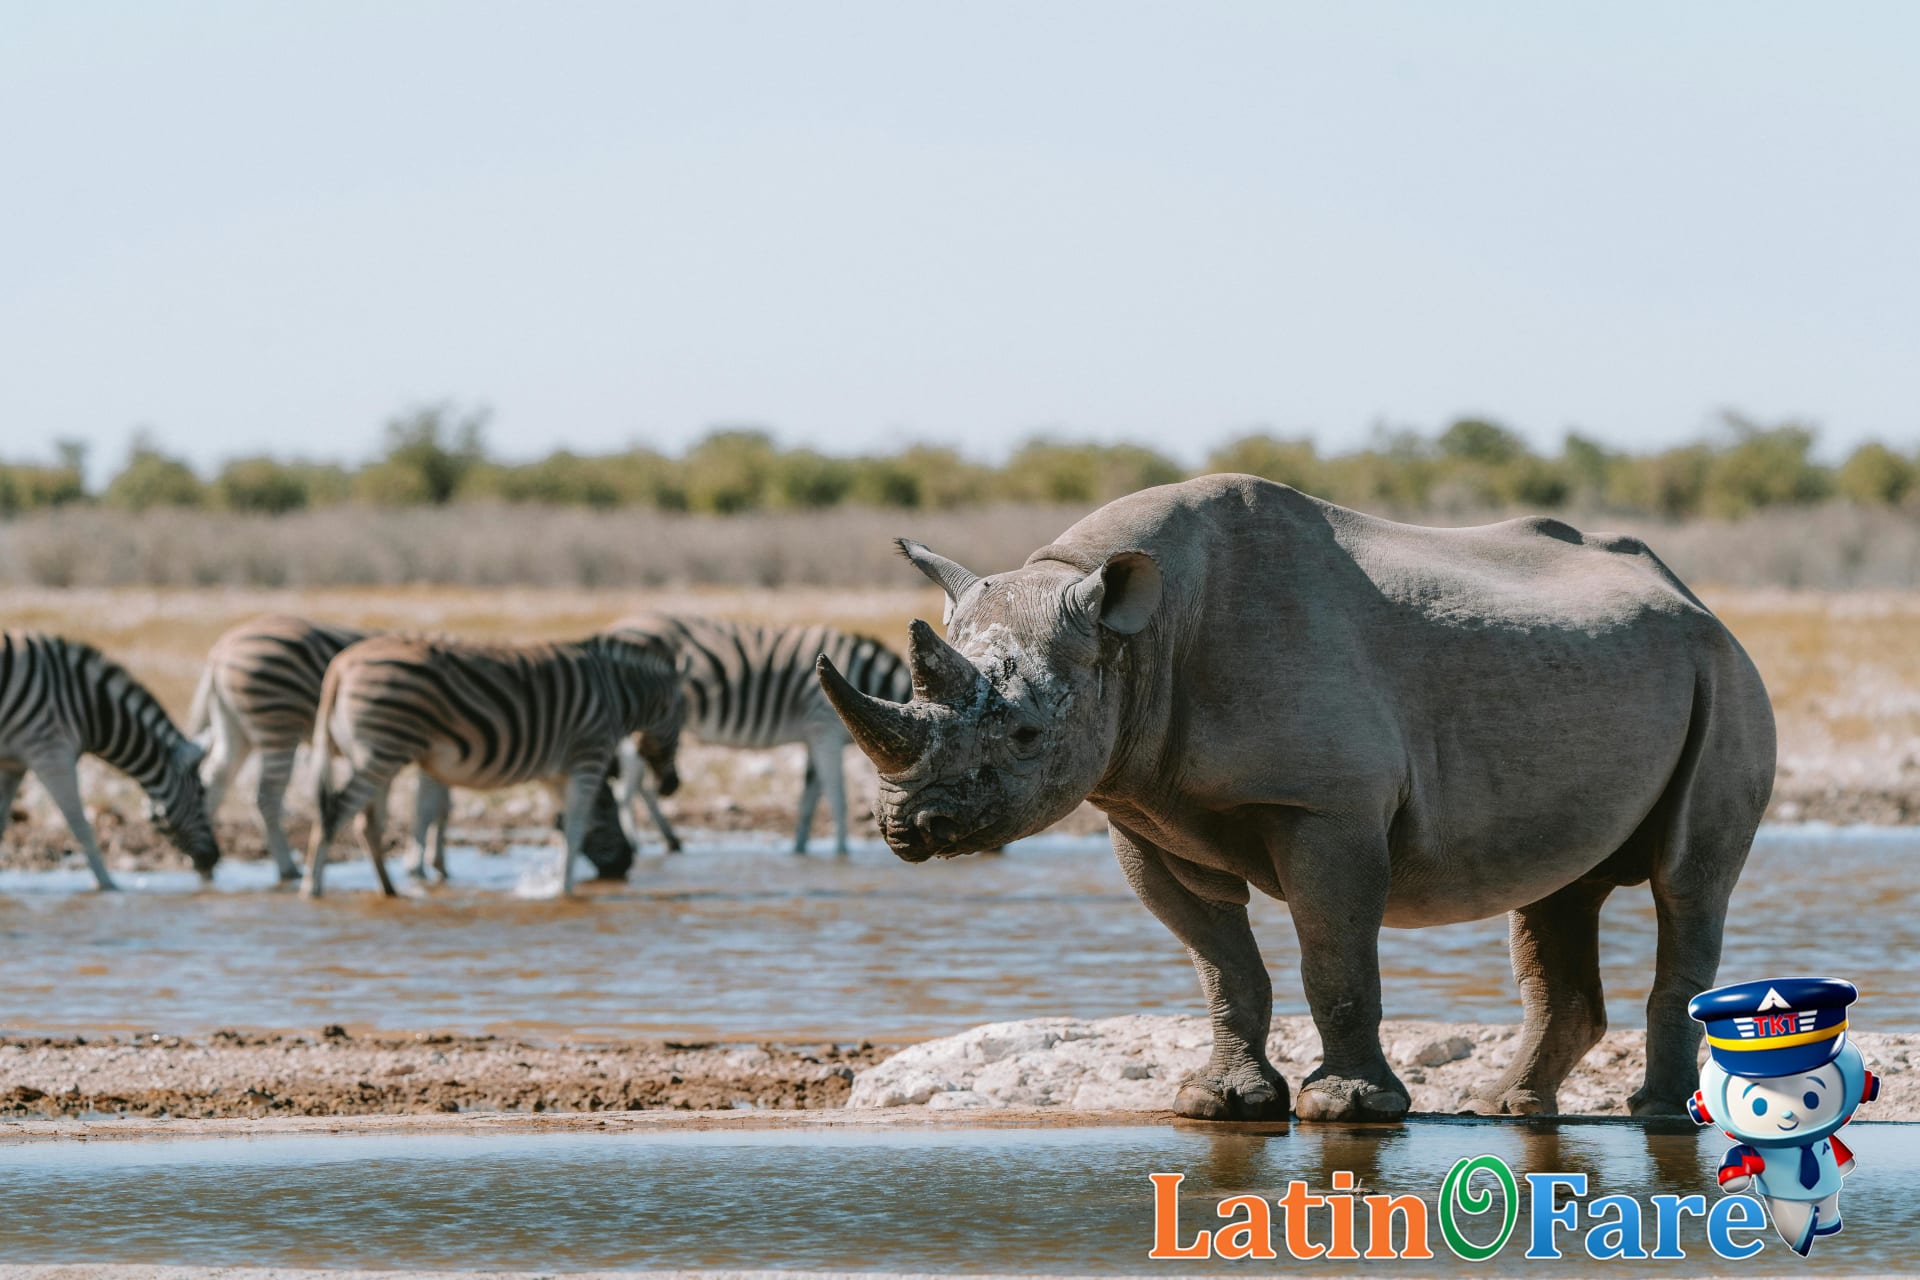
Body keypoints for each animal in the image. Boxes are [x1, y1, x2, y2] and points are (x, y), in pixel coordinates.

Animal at [0, 631, 219, 889]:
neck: (87, 707)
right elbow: (80, 825)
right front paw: (107, 884)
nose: (214, 858)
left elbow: (1, 822)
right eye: (201, 794)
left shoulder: (14, 765)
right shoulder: (51, 754)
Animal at [190, 615, 637, 883]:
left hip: (236, 729)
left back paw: (201, 856)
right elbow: (431, 807)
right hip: (276, 725)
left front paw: (435, 864)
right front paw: (422, 865)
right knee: (266, 796)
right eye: (606, 811)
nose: (626, 864)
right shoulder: (439, 751)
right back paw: (287, 868)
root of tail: (219, 651)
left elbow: (440, 806)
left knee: (213, 779)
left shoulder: (442, 754)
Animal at [304, 629, 686, 898]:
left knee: (368, 824)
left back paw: (389, 890)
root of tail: (340, 666)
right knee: (333, 814)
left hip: (378, 756)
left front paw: (557, 884)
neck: (617, 693)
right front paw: (565, 890)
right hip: (381, 752)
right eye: (681, 724)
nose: (672, 786)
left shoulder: (557, 771)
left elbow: (565, 825)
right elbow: (578, 825)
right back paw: (312, 889)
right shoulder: (588, 753)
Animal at [609, 614, 911, 854]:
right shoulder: (826, 728)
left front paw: (799, 850)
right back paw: (635, 844)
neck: (867, 683)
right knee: (629, 786)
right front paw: (842, 854)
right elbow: (837, 798)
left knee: (641, 784)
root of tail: (621, 625)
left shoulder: (815, 737)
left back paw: (670, 840)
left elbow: (809, 799)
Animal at [817, 475, 1775, 1121]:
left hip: (1724, 672)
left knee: (1686, 883)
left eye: (1023, 735)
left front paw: (1346, 1109)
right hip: (1617, 672)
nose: (909, 826)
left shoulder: (1326, 808)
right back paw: (1506, 1107)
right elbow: (1221, 962)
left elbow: (1333, 955)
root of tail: (1695, 597)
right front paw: (1219, 1102)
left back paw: (1657, 1115)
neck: (1136, 639)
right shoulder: (1141, 809)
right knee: (1556, 893)